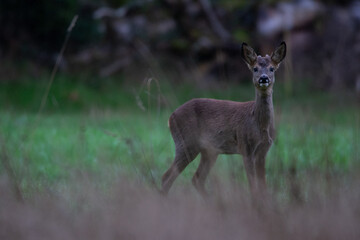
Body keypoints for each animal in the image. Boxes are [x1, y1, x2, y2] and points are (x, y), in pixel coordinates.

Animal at [162, 41, 286, 195]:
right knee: (167, 176)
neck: (260, 125)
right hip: (186, 142)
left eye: (272, 68)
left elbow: (263, 186)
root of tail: (170, 118)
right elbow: (252, 186)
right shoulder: (246, 147)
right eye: (255, 68)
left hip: (209, 151)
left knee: (197, 178)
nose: (264, 78)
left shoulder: (263, 151)